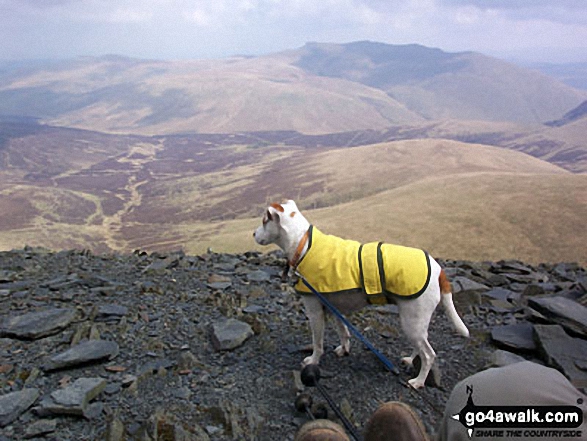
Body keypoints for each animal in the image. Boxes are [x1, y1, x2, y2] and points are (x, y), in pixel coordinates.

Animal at [253, 200, 468, 388]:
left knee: (429, 354)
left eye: (264, 221)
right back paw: (409, 360)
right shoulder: (334, 308)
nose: (253, 233)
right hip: (415, 323)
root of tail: (438, 270)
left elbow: (318, 342)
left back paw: (418, 382)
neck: (303, 245)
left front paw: (313, 360)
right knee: (421, 346)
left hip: (411, 321)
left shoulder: (315, 311)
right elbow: (343, 332)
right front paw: (344, 349)